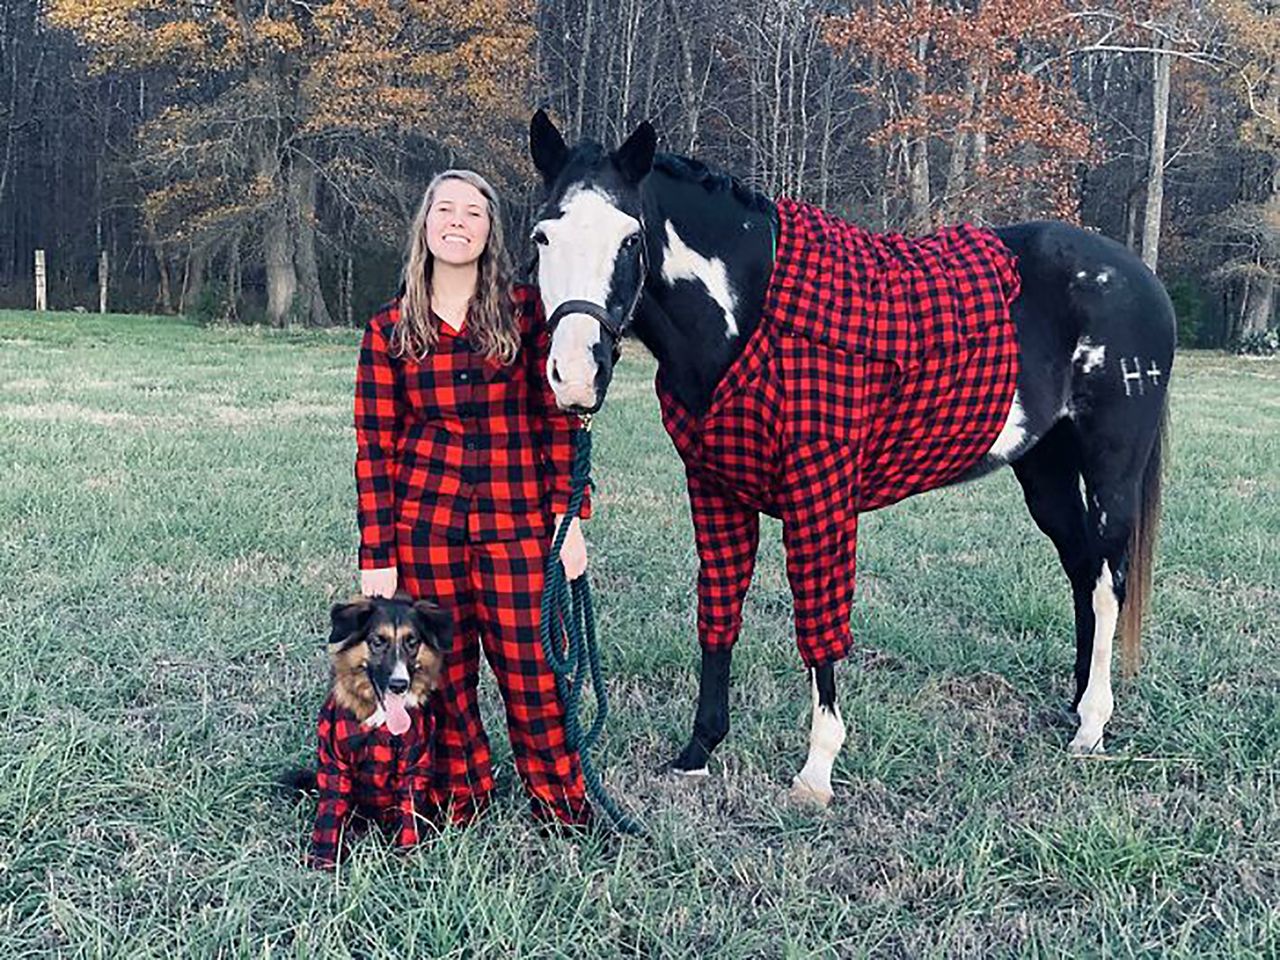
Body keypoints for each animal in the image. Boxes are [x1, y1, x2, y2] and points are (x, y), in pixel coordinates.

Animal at [284, 593, 450, 870]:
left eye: (412, 641)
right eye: (377, 641)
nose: (399, 684)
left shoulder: (415, 766)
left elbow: (410, 815)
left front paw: (408, 858)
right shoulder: (334, 764)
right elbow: (329, 815)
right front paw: (322, 861)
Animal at [524, 108, 1172, 808]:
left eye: (629, 239)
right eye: (542, 236)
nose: (575, 376)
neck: (754, 317)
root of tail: (1138, 277)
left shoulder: (821, 498)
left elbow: (820, 624)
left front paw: (816, 770)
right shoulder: (715, 491)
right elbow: (719, 611)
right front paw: (699, 751)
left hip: (1110, 474)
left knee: (1107, 583)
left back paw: (1093, 725)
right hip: (1045, 470)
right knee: (1082, 573)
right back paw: (1077, 707)